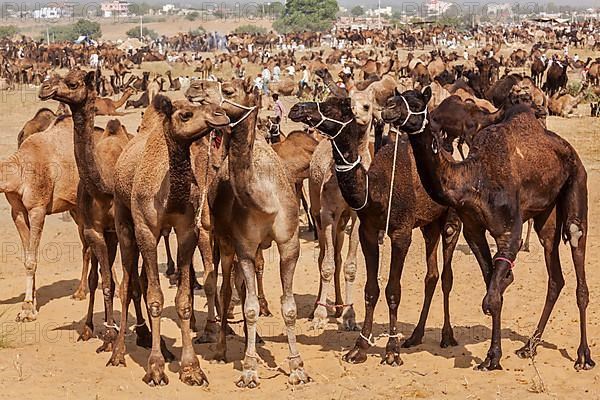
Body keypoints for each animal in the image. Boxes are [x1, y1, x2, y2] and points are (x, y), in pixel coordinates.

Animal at [288, 96, 462, 366]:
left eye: (332, 107)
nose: (297, 108)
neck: (375, 189)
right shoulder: (368, 231)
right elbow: (371, 290)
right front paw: (359, 348)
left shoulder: (401, 233)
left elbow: (393, 291)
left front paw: (392, 351)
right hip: (429, 224)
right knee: (431, 274)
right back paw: (415, 336)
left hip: (451, 221)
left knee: (446, 276)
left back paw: (446, 336)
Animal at [384, 86, 596, 372]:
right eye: (398, 96)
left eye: (417, 102)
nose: (389, 107)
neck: (473, 180)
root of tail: (567, 149)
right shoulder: (473, 229)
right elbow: (492, 286)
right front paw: (493, 354)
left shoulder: (509, 233)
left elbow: (491, 298)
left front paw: (492, 357)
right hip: (547, 215)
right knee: (555, 275)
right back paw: (529, 346)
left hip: (577, 183)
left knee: (577, 254)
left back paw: (583, 355)